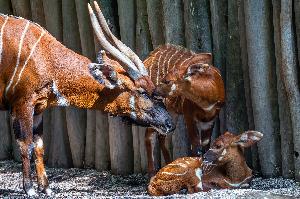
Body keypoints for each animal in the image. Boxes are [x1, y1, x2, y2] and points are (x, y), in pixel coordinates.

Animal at [0, 2, 175, 196]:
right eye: (142, 91)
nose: (169, 124)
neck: (47, 58)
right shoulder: (22, 104)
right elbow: (26, 145)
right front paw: (30, 189)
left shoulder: (38, 108)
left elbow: (39, 147)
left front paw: (46, 188)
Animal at [144, 44, 225, 176]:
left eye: (167, 81)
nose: (154, 92)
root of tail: (149, 58)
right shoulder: (188, 114)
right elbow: (196, 146)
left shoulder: (210, 119)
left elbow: (205, 145)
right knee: (149, 135)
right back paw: (152, 173)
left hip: (172, 113)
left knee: (162, 137)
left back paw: (168, 166)